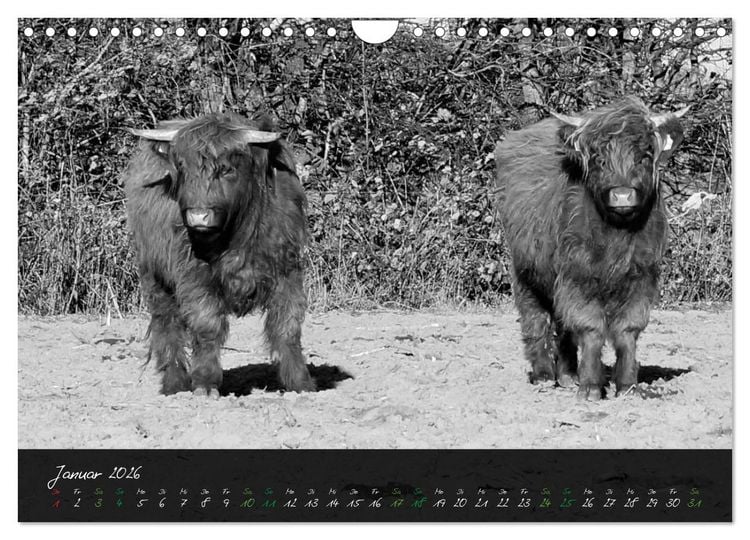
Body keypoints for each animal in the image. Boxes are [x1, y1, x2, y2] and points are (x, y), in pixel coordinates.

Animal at [123, 112, 316, 397]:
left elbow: (287, 325)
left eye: (227, 169)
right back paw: (174, 384)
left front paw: (301, 383)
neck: (238, 235)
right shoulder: (194, 276)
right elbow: (207, 325)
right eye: (182, 168)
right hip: (154, 277)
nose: (198, 216)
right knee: (167, 325)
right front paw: (205, 383)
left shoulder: (287, 271)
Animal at [494, 97, 688, 400]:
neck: (617, 237)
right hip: (526, 271)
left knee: (562, 325)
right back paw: (543, 375)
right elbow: (590, 328)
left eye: (644, 156)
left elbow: (628, 330)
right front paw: (591, 387)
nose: (622, 195)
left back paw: (567, 375)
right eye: (599, 159)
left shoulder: (642, 276)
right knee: (535, 318)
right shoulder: (578, 276)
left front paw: (627, 386)